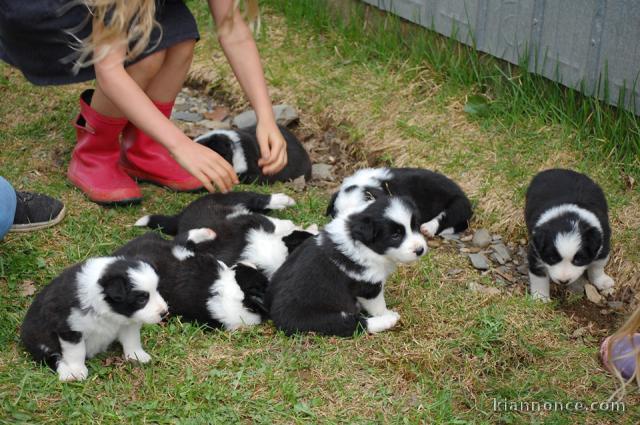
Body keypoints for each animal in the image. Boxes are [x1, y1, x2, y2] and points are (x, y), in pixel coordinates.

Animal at [21, 256, 168, 382]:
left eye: (157, 290)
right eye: (142, 299)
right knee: (52, 358)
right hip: (41, 342)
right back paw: (67, 373)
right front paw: (76, 370)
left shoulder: (128, 321)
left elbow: (132, 339)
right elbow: (76, 352)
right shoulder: (70, 328)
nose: (164, 313)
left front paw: (136, 355)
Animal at [135, 190, 316, 276]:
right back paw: (284, 201)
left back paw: (283, 201)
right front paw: (301, 226)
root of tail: (180, 217)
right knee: (257, 200)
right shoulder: (249, 221)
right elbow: (277, 224)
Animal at [268, 195, 428, 338]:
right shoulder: (368, 286)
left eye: (415, 226)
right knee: (355, 325)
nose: (420, 250)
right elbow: (378, 306)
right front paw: (387, 313)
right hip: (322, 319)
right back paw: (388, 320)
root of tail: (273, 314)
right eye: (395, 235)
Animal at [524, 167, 616, 300]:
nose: (563, 281)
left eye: (578, 260)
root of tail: (558, 169)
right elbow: (539, 276)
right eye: (552, 258)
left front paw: (601, 281)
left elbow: (597, 266)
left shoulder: (603, 244)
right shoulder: (536, 252)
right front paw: (540, 298)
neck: (570, 218)